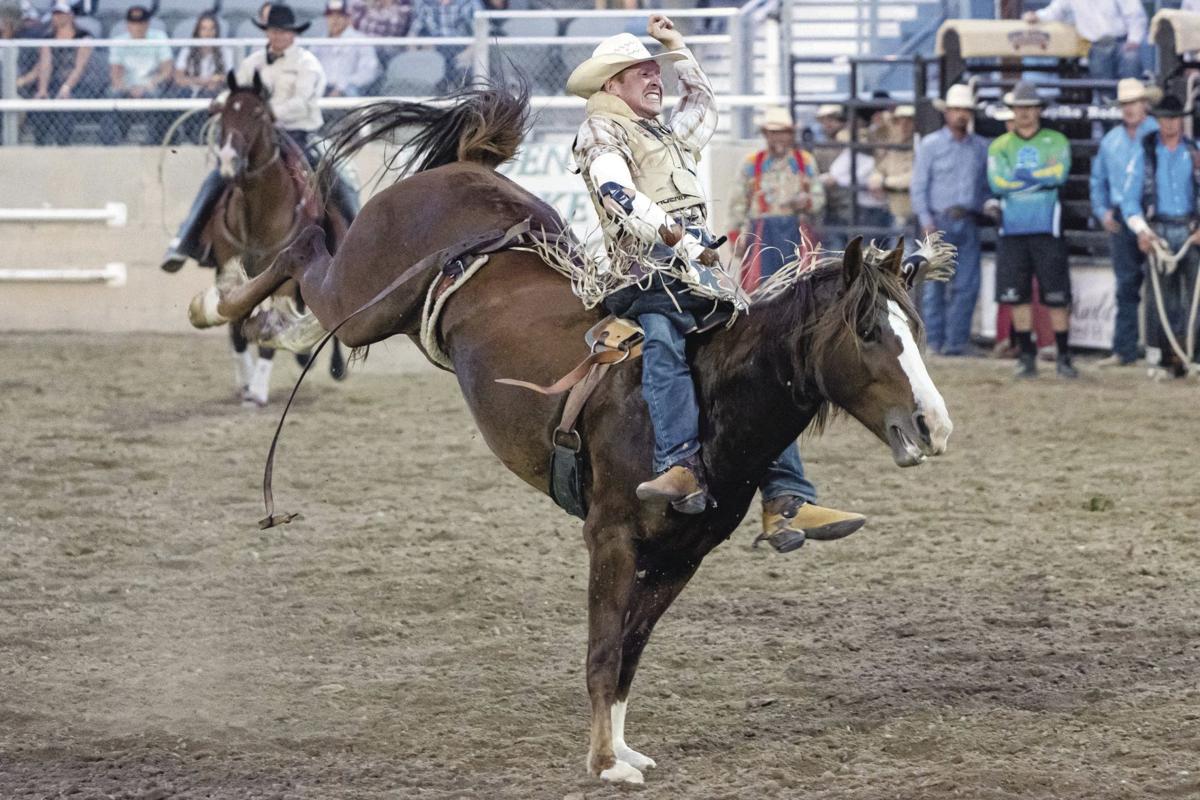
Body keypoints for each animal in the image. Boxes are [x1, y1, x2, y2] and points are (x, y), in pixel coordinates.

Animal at [187, 84, 955, 786]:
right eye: (867, 330)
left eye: (915, 326)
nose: (933, 424)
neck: (706, 398)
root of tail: (459, 170)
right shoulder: (610, 536)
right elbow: (602, 650)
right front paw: (604, 762)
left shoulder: (681, 557)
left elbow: (630, 653)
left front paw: (623, 748)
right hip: (362, 303)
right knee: (300, 252)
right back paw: (218, 305)